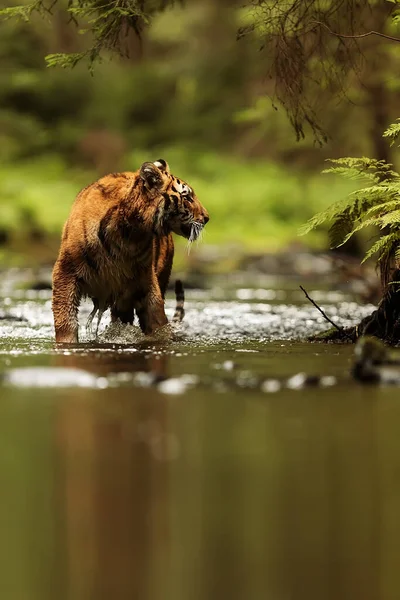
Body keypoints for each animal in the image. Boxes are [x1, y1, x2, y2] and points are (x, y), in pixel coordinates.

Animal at [51, 158, 209, 342]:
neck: (130, 233)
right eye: (188, 197)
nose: (207, 218)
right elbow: (65, 319)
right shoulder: (65, 273)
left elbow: (157, 321)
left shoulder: (145, 280)